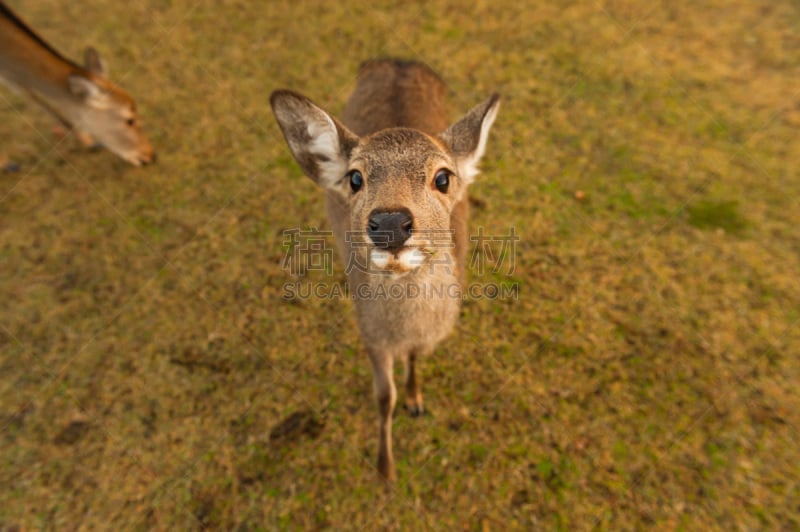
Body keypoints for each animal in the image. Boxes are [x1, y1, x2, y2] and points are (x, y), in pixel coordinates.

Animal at [272, 59, 500, 482]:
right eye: (355, 178)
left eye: (443, 177)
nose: (390, 222)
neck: (407, 328)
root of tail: (396, 60)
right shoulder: (370, 333)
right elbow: (383, 397)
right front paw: (386, 468)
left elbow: (414, 360)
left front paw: (417, 401)